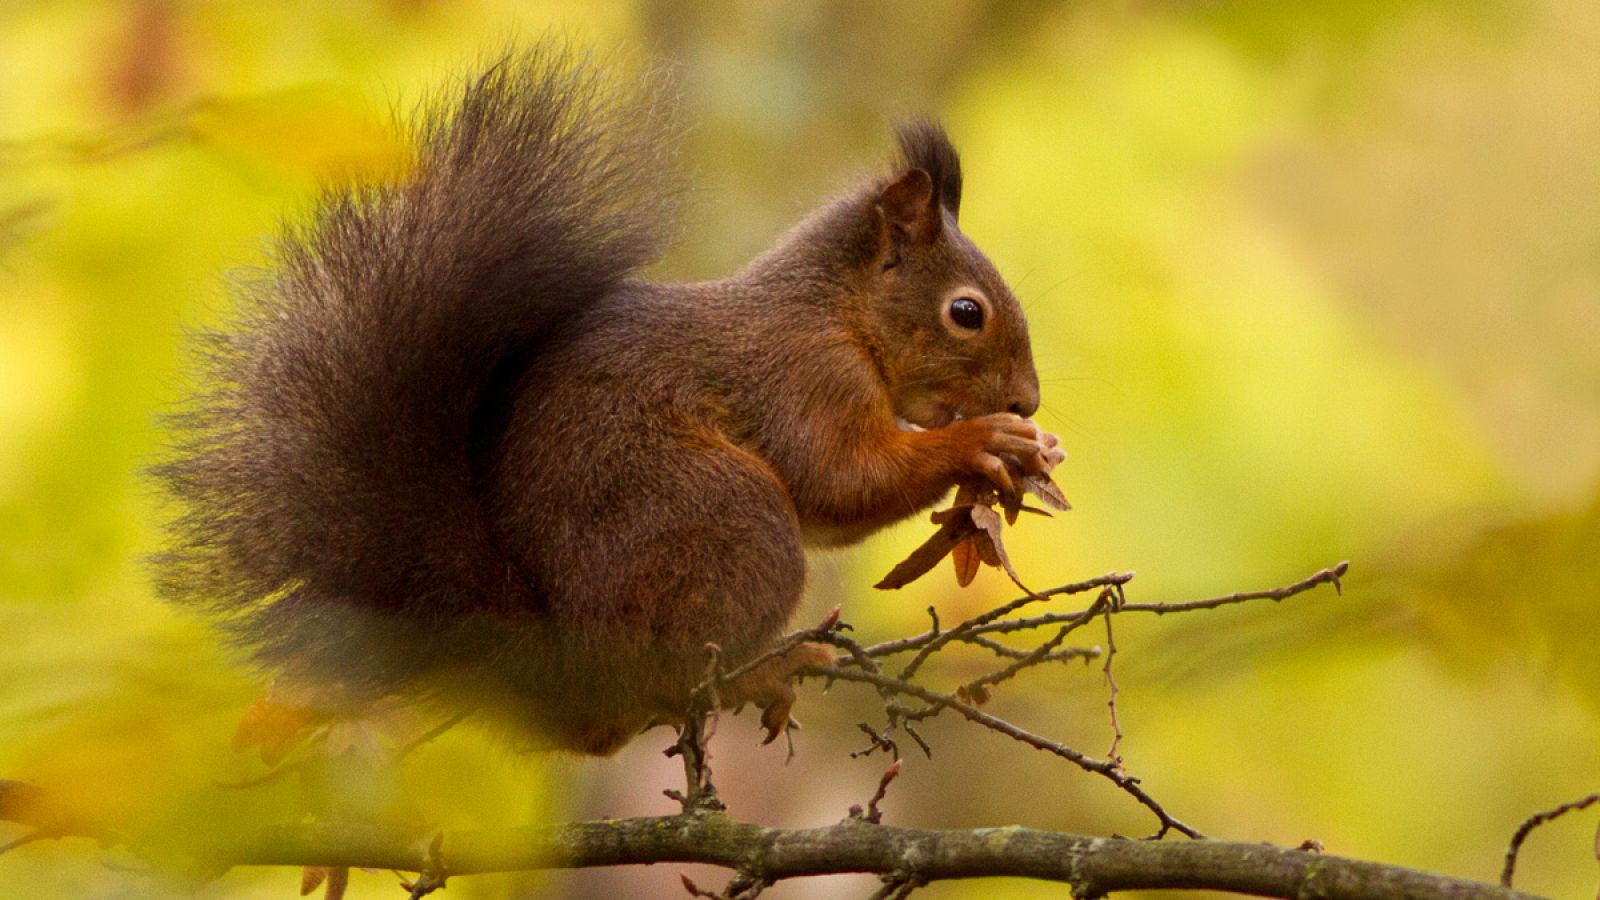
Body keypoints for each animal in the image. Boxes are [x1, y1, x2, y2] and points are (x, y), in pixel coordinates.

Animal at [155, 47, 1062, 756]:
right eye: (966, 312)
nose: (1028, 399)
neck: (836, 309)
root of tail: (566, 666)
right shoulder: (804, 376)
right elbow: (842, 479)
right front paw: (982, 442)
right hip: (726, 523)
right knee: (683, 670)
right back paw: (770, 668)